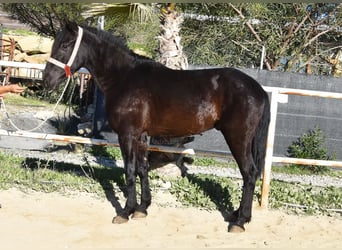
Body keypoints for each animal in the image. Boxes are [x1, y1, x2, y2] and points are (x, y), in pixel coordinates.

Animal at [42, 22, 270, 233]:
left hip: (237, 138)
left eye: (65, 45)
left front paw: (125, 211)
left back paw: (240, 221)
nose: (47, 80)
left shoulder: (127, 135)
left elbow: (130, 170)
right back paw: (236, 214)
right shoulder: (141, 136)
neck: (124, 78)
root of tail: (258, 89)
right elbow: (142, 169)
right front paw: (142, 208)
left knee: (249, 173)